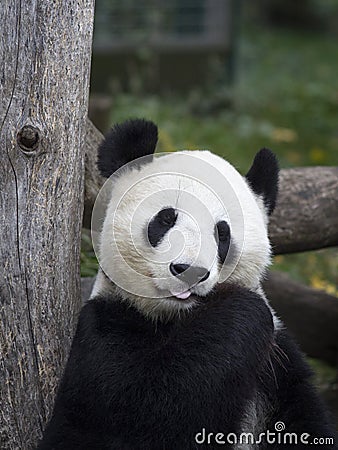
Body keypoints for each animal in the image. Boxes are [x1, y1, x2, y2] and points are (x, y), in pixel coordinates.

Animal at [37, 118, 336, 448]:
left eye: (222, 233)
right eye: (165, 219)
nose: (189, 271)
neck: (178, 318)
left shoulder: (280, 372)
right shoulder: (105, 330)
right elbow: (145, 412)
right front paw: (241, 312)